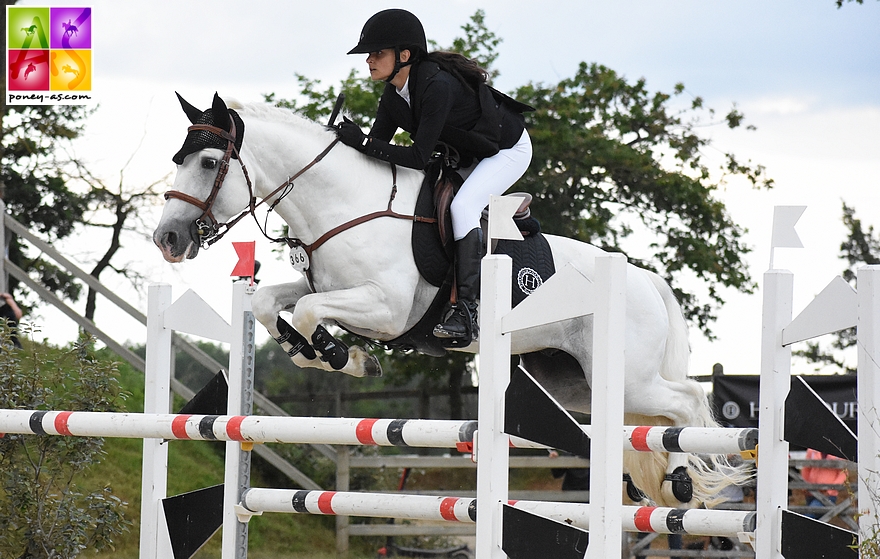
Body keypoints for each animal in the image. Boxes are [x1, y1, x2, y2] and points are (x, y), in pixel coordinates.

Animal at [155, 95, 744, 508]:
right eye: (179, 158)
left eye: (207, 162)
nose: (167, 239)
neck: (346, 204)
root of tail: (643, 279)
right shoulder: (328, 286)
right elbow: (272, 306)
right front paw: (326, 354)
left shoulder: (387, 309)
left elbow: (306, 312)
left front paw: (341, 354)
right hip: (576, 384)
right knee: (648, 419)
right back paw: (665, 485)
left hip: (628, 375)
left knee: (687, 402)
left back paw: (681, 481)